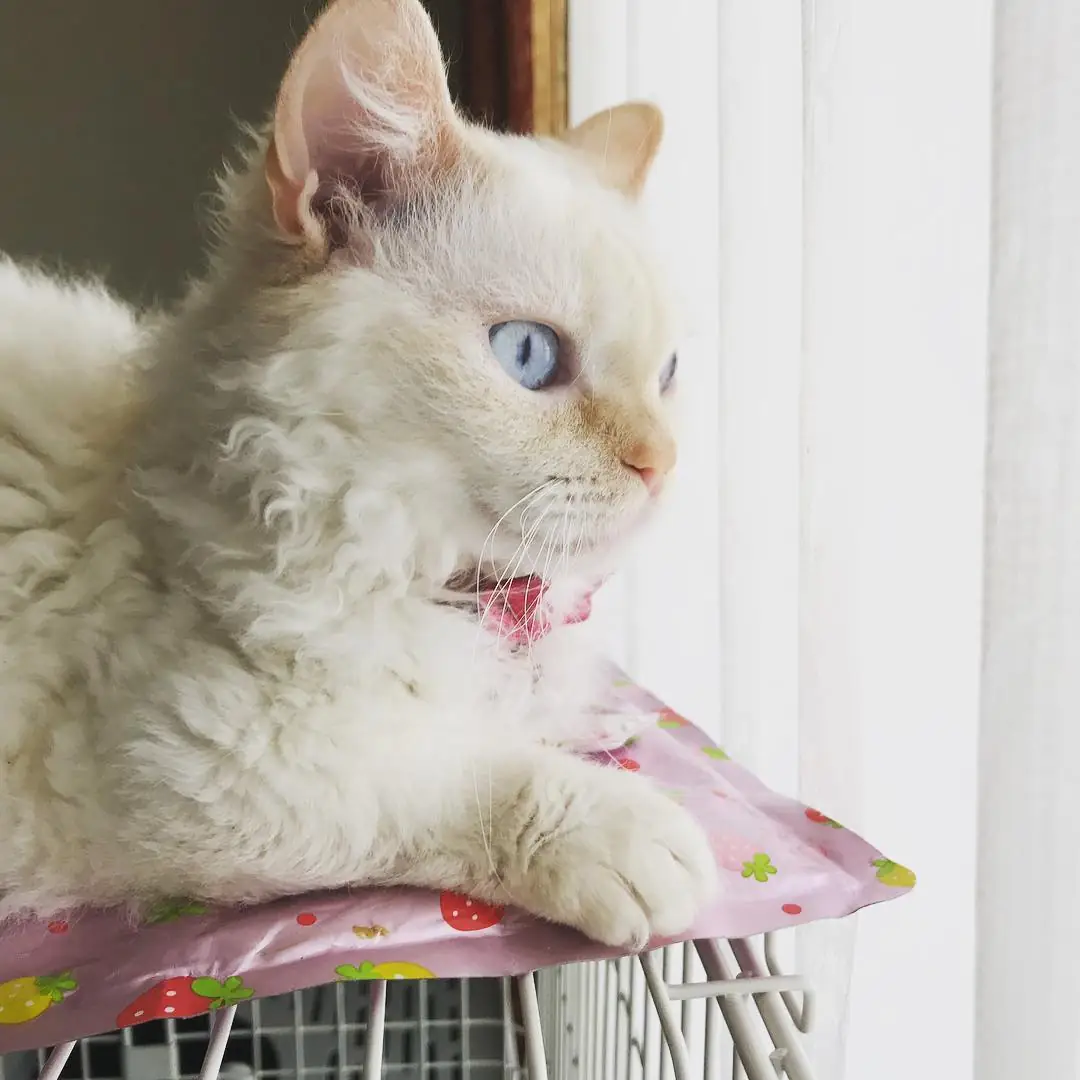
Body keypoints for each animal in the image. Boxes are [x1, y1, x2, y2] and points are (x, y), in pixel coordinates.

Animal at [0, 0, 716, 949]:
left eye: (667, 374)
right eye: (528, 356)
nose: (662, 465)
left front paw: (598, 722)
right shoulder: (195, 764)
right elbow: (461, 777)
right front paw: (626, 831)